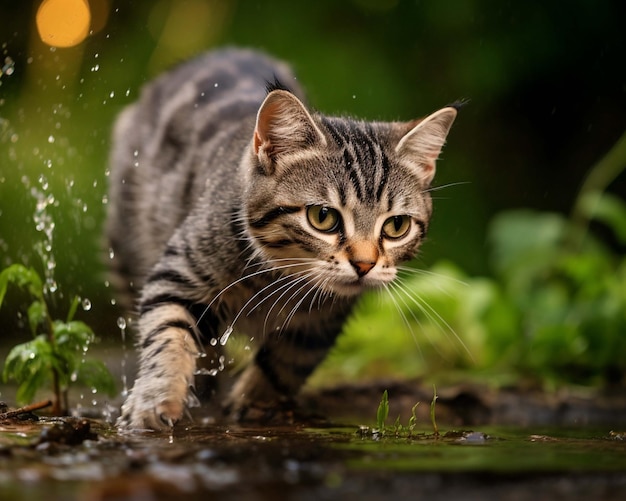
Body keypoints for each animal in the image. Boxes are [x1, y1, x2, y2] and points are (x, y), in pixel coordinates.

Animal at [107, 47, 456, 430]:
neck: (274, 278)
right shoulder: (179, 272)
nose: (364, 264)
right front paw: (157, 401)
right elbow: (168, 334)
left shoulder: (322, 321)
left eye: (396, 226)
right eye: (323, 217)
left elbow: (287, 362)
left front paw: (255, 404)